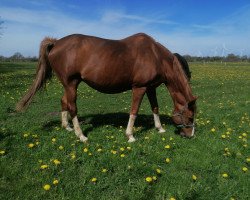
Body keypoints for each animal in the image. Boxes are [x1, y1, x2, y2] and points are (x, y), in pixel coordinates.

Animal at [17, 32, 197, 142]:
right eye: (189, 117)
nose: (190, 135)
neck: (155, 55)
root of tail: (56, 43)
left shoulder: (150, 88)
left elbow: (155, 108)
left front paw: (159, 129)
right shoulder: (139, 88)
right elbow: (134, 110)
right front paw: (130, 135)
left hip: (69, 85)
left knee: (63, 101)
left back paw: (67, 127)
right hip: (71, 84)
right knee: (72, 106)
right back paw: (81, 135)